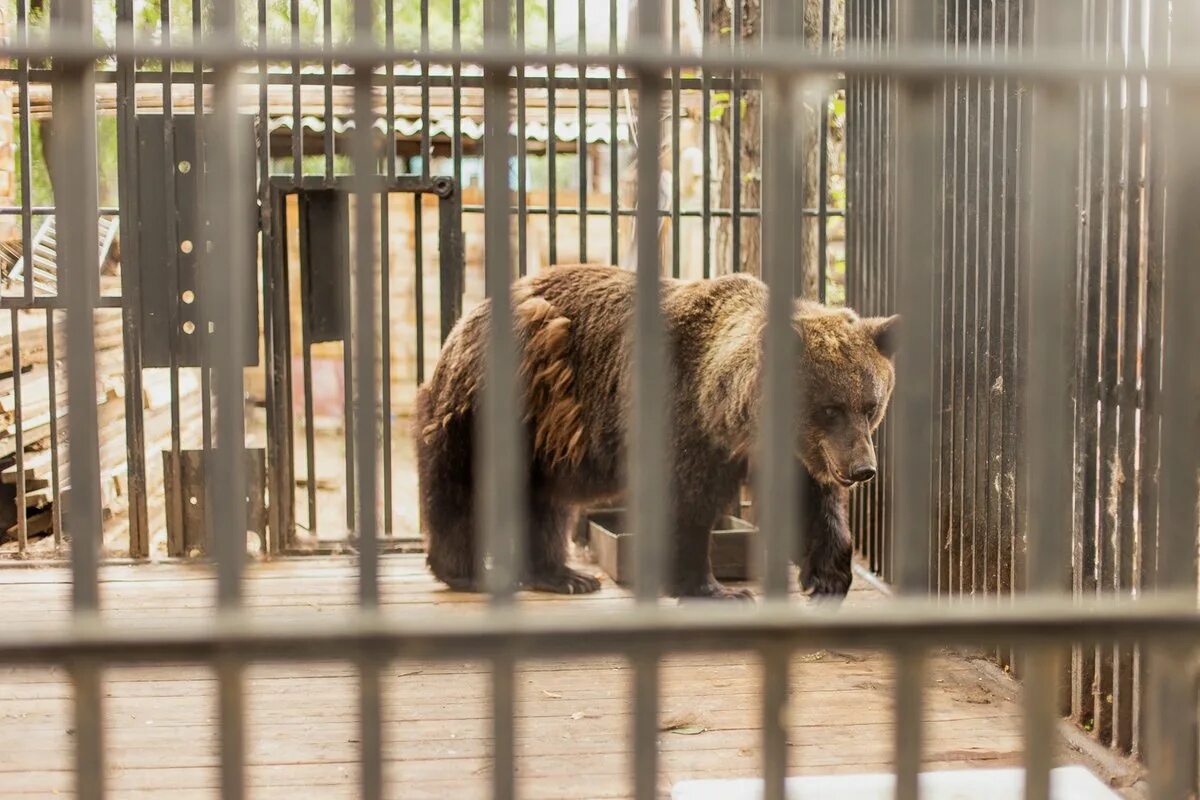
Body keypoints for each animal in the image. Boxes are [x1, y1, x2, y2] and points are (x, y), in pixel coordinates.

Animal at [417, 266, 897, 597]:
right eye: (829, 408)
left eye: (871, 405)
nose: (862, 469)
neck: (730, 416)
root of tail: (463, 321)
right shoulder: (682, 417)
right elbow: (684, 503)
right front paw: (713, 589)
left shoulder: (789, 452)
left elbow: (811, 502)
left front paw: (828, 578)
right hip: (500, 403)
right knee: (464, 486)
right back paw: (468, 571)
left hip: (547, 438)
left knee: (544, 502)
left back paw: (564, 575)